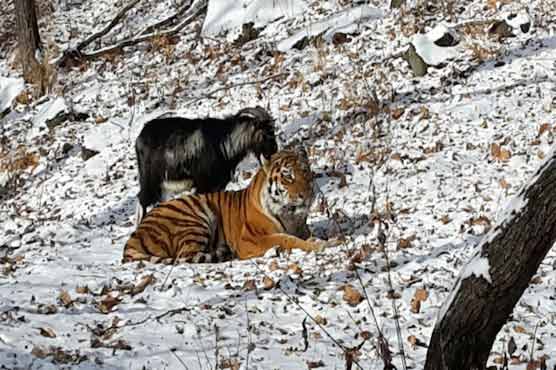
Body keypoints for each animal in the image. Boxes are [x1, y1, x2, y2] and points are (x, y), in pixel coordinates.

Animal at [124, 148, 324, 264]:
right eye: (288, 176)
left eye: (305, 171)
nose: (307, 194)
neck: (290, 215)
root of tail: (134, 236)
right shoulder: (249, 239)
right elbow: (285, 238)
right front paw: (320, 244)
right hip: (194, 219)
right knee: (185, 255)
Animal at [135, 105, 278, 224]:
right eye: (265, 134)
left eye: (273, 131)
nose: (274, 152)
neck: (223, 143)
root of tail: (139, 138)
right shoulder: (203, 185)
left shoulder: (217, 185)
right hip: (150, 179)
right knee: (142, 200)